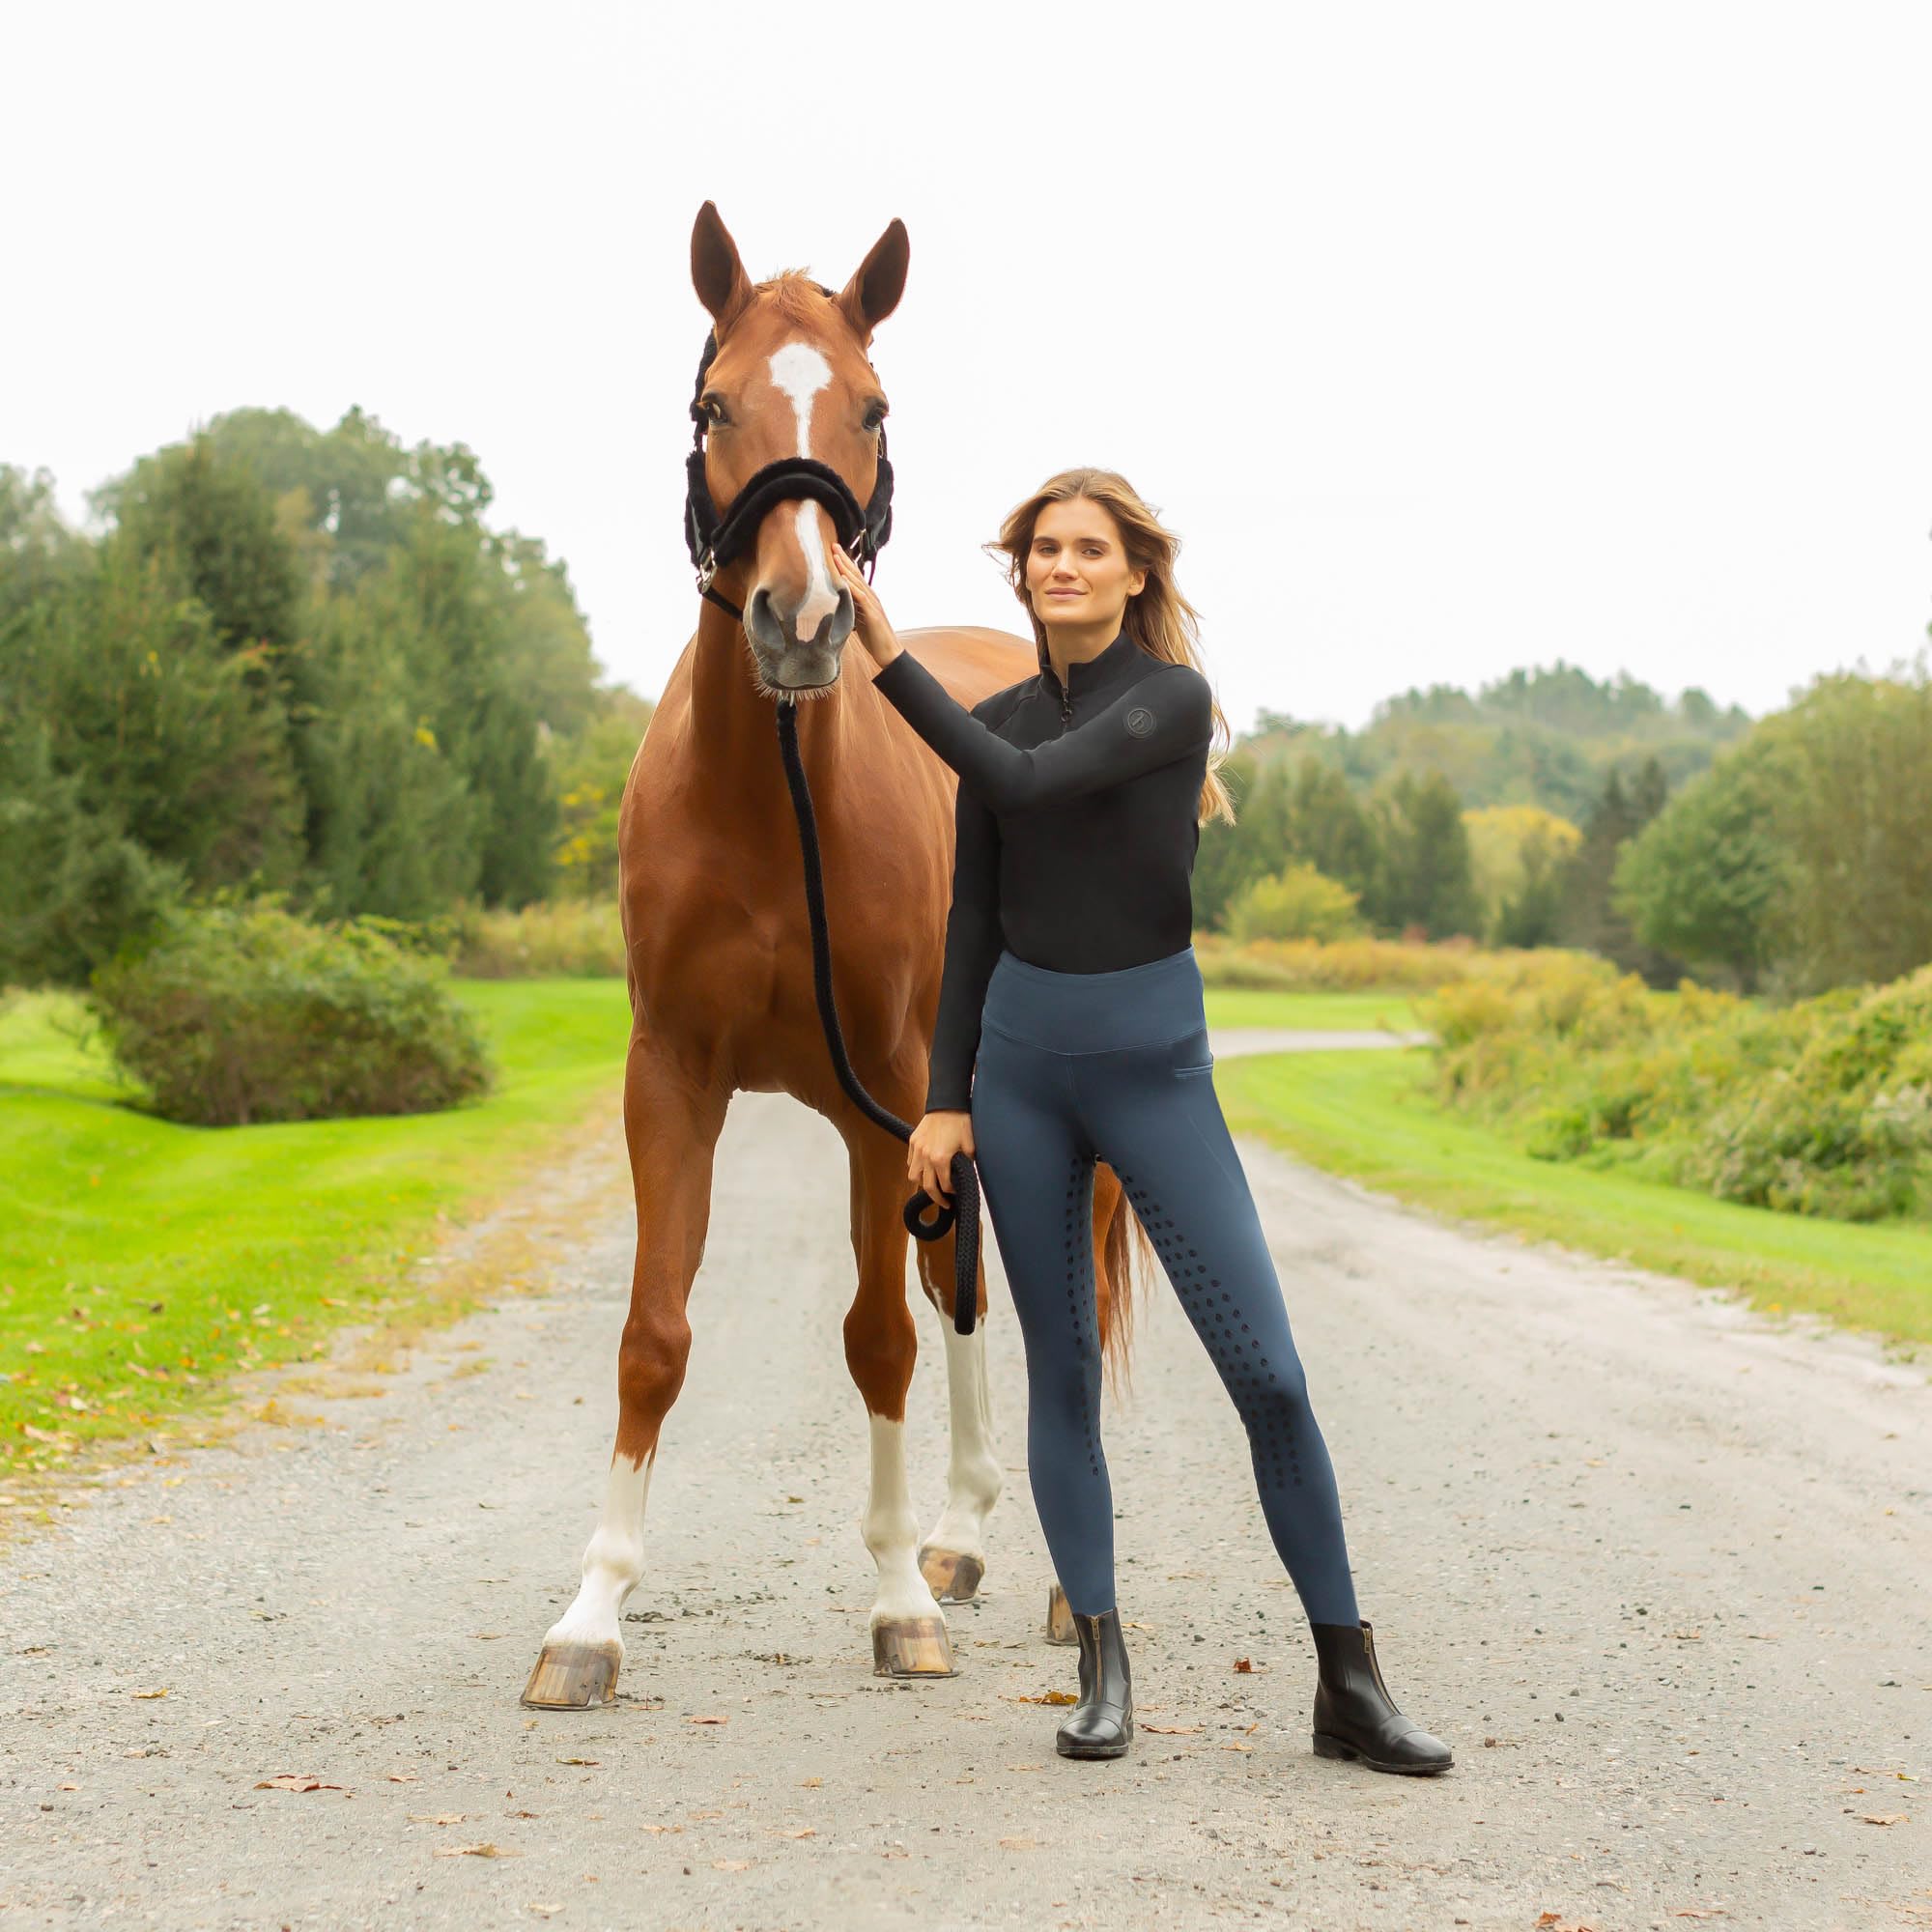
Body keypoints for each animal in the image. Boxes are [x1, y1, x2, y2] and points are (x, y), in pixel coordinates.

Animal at [523, 202, 1152, 1708]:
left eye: (871, 407)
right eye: (713, 405)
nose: (803, 622)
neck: (772, 809)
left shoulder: (881, 1101)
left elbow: (879, 1337)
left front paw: (891, 1603)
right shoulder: (674, 1081)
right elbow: (655, 1337)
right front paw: (592, 1615)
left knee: (1051, 1308)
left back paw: (1053, 1583)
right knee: (969, 1281)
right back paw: (964, 1537)